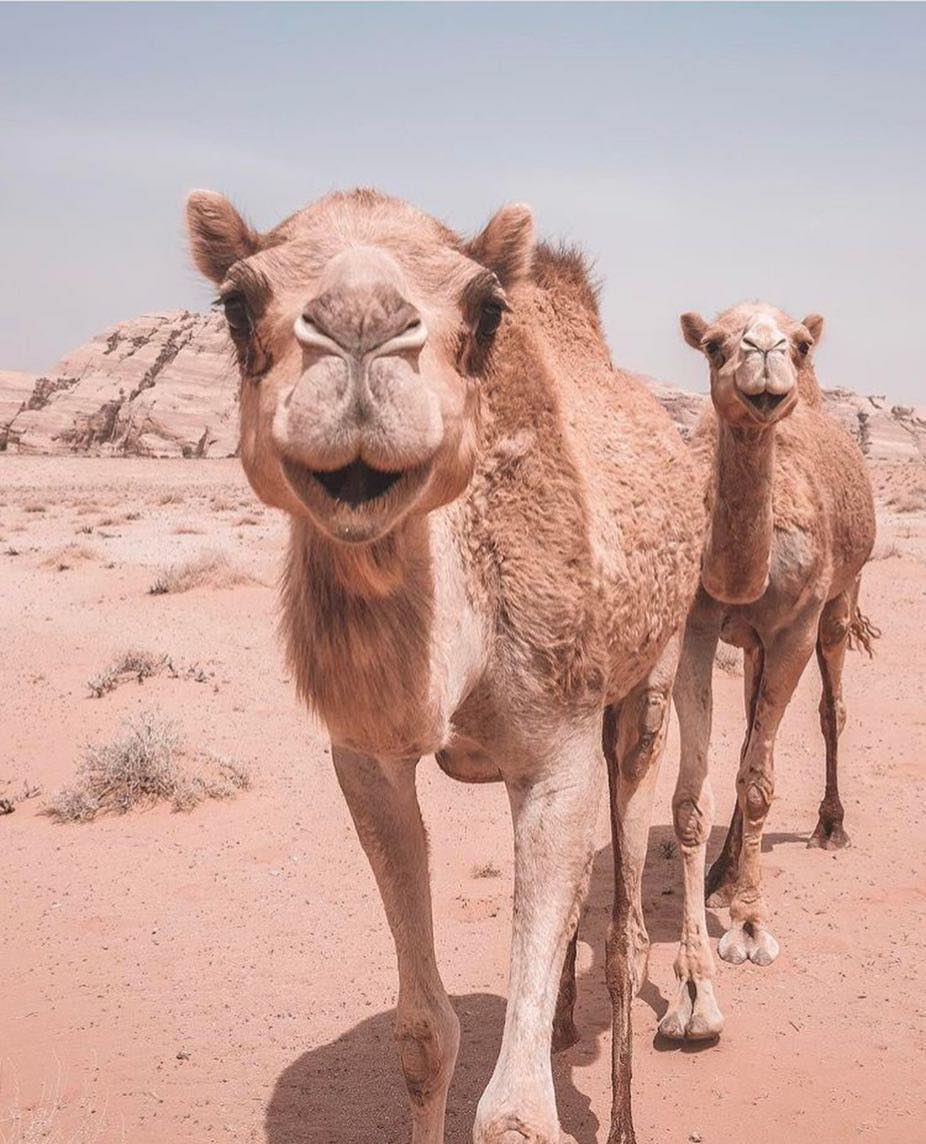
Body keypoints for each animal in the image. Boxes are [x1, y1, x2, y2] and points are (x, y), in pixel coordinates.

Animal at [185, 187, 703, 1144]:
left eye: (485, 309)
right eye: (236, 303)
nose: (360, 329)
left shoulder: (558, 745)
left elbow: (516, 1113)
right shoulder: (366, 760)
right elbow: (424, 1033)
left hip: (645, 685)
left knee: (624, 932)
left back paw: (619, 1113)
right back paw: (562, 1018)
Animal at [656, 302, 876, 1041]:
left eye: (801, 344)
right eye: (712, 344)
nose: (765, 349)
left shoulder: (794, 630)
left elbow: (759, 785)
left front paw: (750, 927)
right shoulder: (696, 629)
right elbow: (692, 799)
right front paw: (693, 989)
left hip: (840, 600)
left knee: (830, 709)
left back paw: (829, 826)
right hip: (747, 642)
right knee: (753, 714)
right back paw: (724, 870)